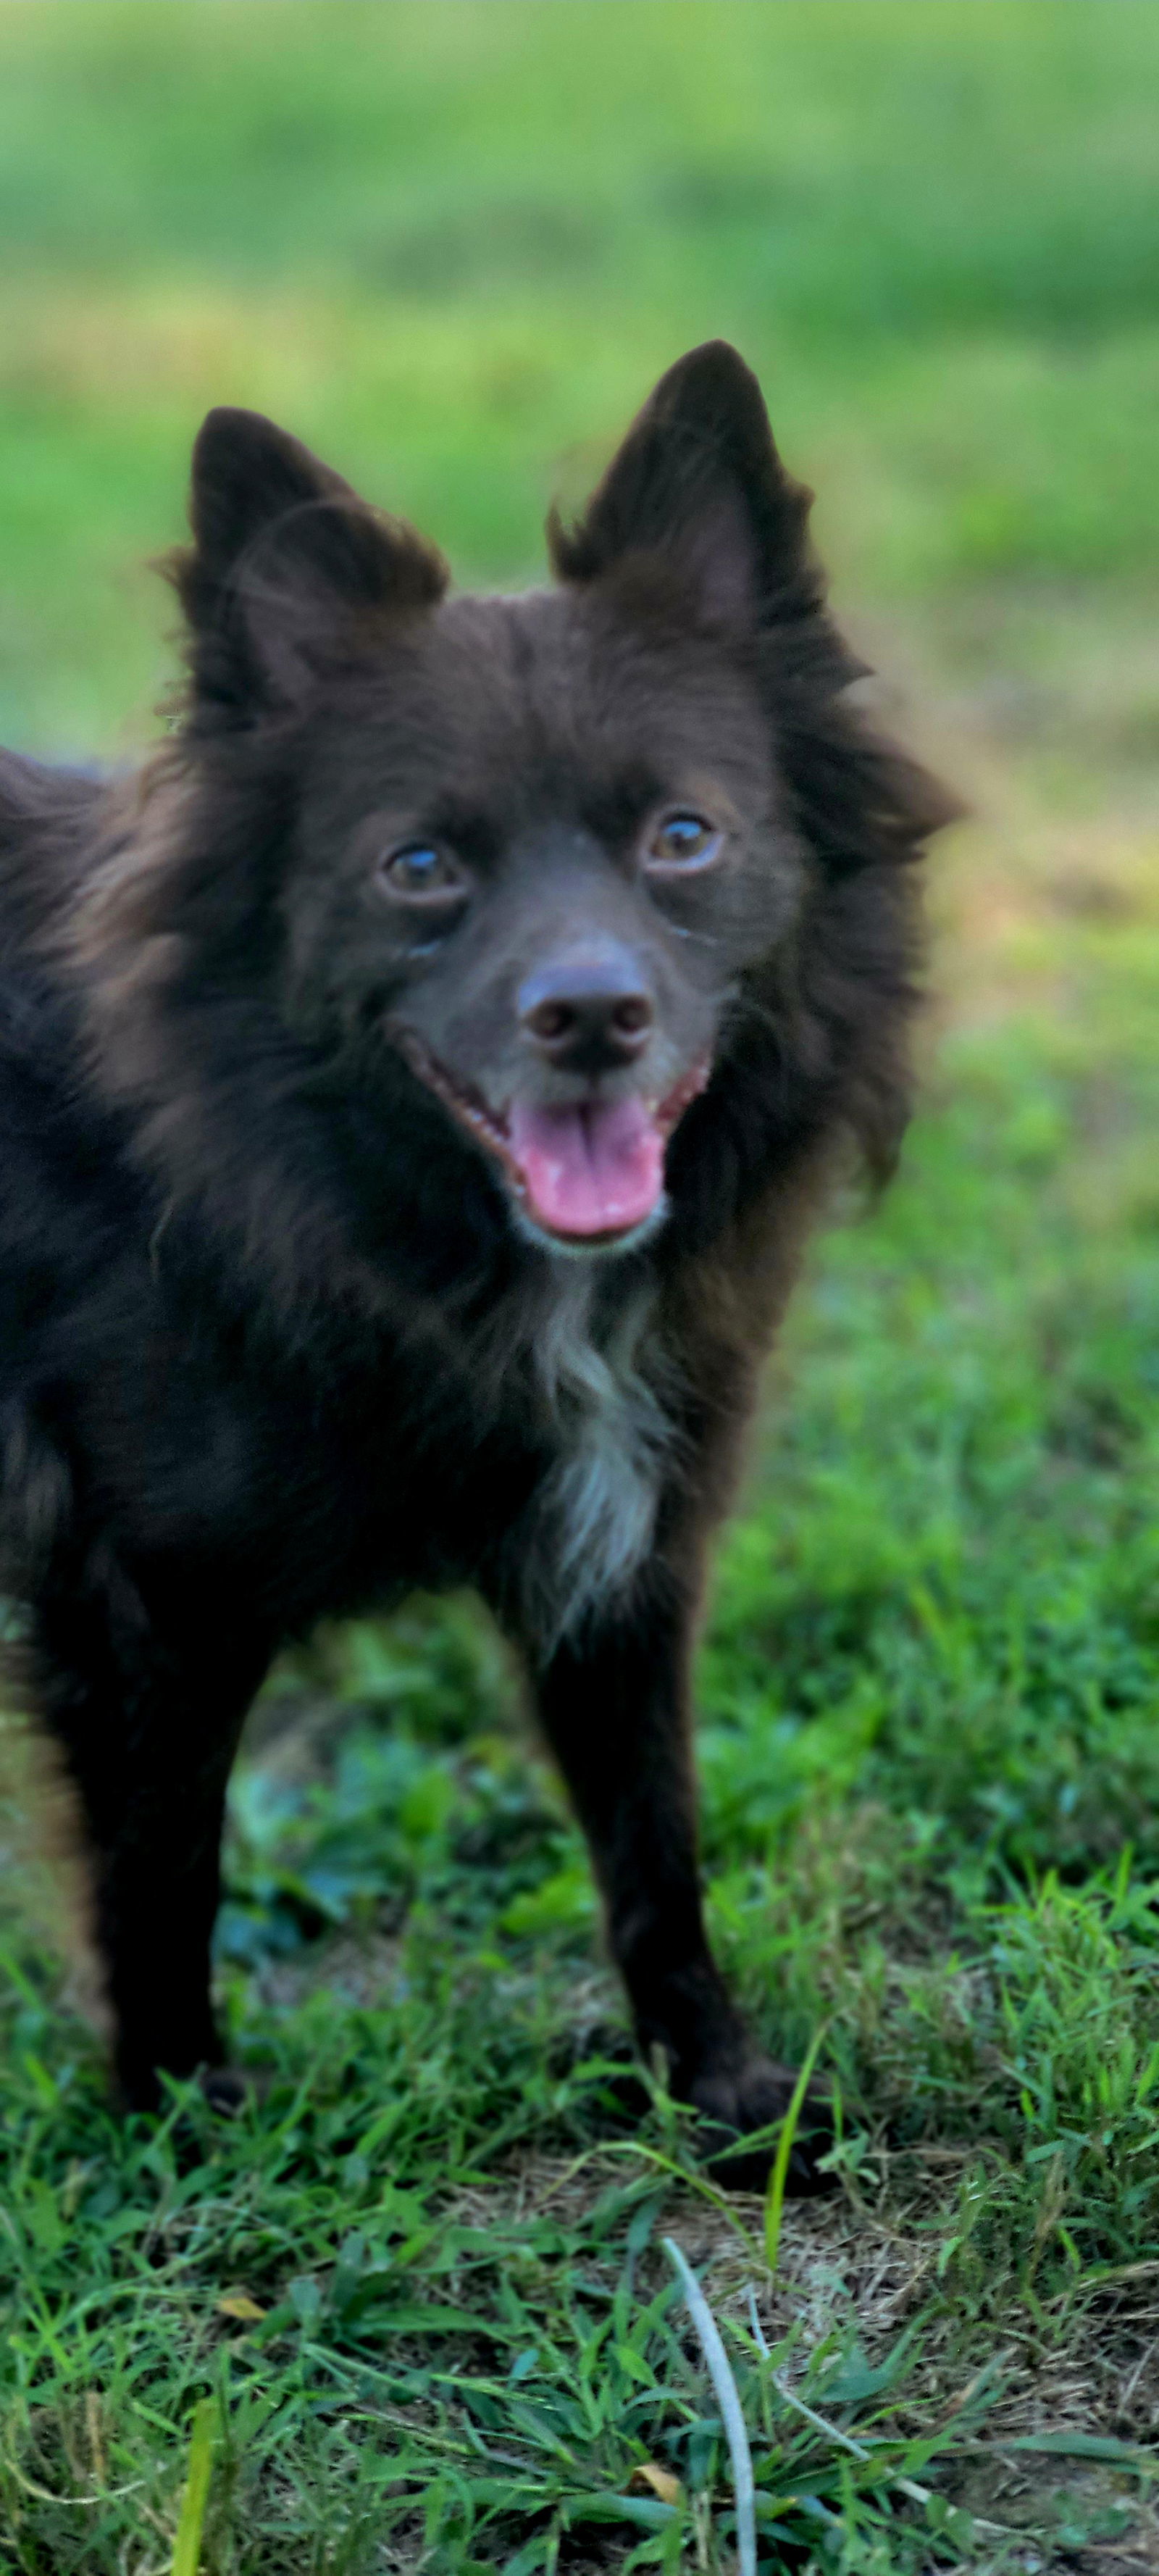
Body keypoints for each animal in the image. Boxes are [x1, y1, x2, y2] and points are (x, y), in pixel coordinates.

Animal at [0, 342, 953, 2184]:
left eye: (680, 835)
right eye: (419, 867)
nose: (589, 1015)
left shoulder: (626, 1541)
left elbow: (653, 1840)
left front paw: (721, 2096)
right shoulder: (143, 1602)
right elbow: (162, 1877)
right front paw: (178, 2125)